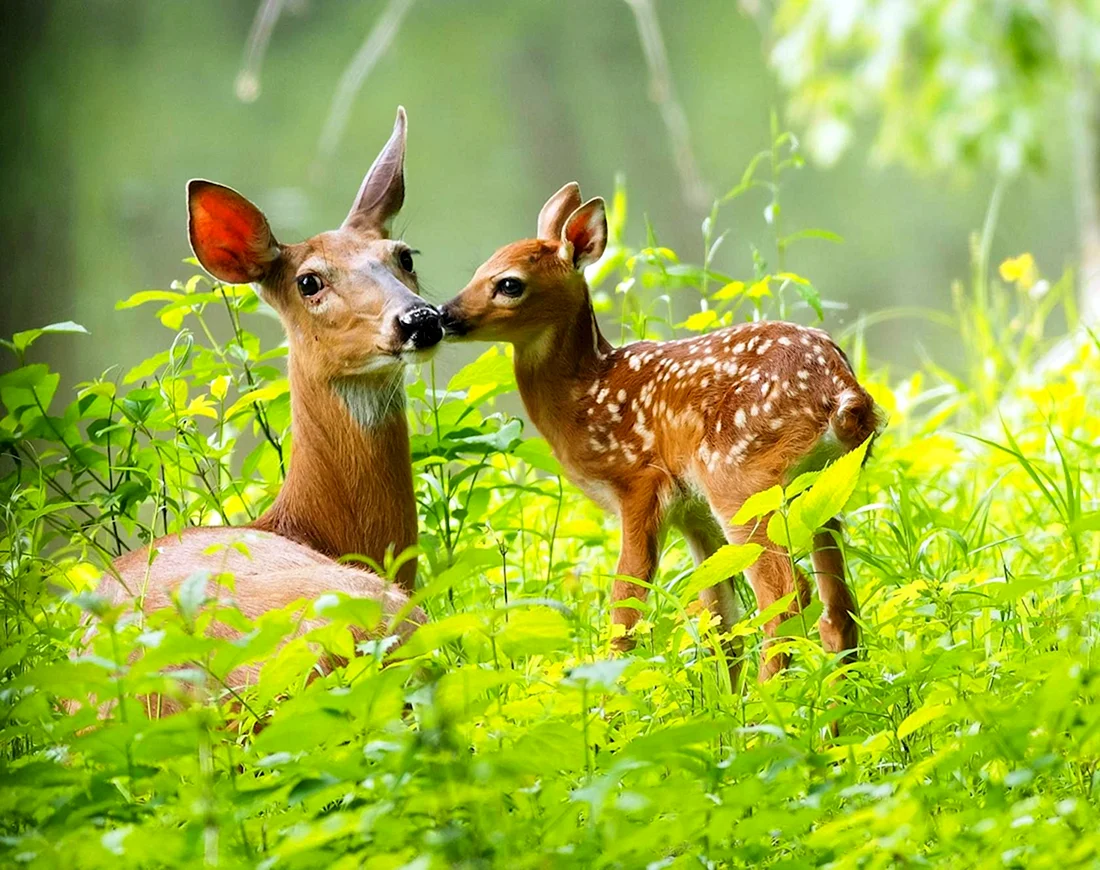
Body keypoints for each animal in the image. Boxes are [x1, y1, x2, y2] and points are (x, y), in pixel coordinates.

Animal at [440, 182, 883, 682]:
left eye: (509, 283)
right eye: (479, 270)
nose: (443, 315)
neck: (587, 395)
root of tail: (842, 392)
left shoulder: (639, 483)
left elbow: (625, 607)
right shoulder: (693, 513)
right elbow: (719, 618)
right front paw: (725, 697)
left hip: (738, 477)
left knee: (786, 596)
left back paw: (773, 697)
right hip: (819, 489)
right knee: (837, 609)